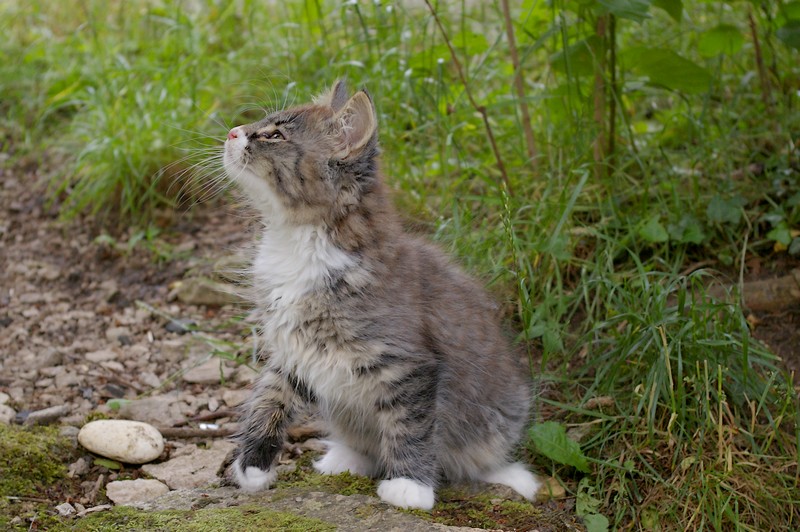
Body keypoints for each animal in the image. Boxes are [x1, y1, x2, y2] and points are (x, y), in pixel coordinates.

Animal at [222, 81, 540, 510]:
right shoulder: (294, 351)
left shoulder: (407, 364)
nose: (232, 132)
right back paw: (344, 458)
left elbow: (410, 425)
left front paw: (410, 487)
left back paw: (512, 476)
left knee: (479, 461)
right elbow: (268, 399)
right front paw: (253, 465)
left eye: (274, 135)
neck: (298, 244)